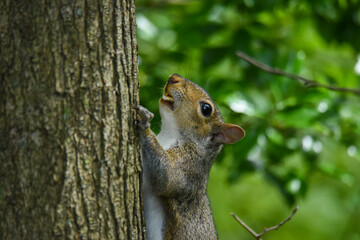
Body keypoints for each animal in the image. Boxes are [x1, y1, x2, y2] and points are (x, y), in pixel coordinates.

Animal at [135, 73, 245, 240]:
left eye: (206, 109)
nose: (174, 77)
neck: (169, 136)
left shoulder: (187, 167)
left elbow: (165, 176)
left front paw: (144, 124)